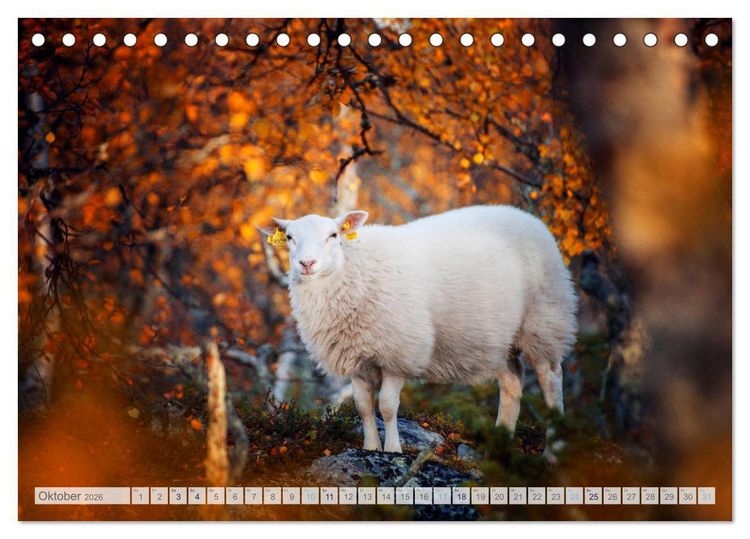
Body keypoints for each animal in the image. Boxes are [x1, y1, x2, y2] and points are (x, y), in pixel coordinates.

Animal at [260, 205, 578, 453]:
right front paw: (370, 448)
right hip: (500, 339)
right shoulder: (357, 358)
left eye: (333, 235)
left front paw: (393, 450)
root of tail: (528, 217)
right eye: (290, 237)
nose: (306, 263)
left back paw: (553, 451)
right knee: (512, 382)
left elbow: (387, 406)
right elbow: (363, 407)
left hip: (545, 320)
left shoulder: (399, 353)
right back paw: (500, 444)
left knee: (551, 378)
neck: (353, 269)